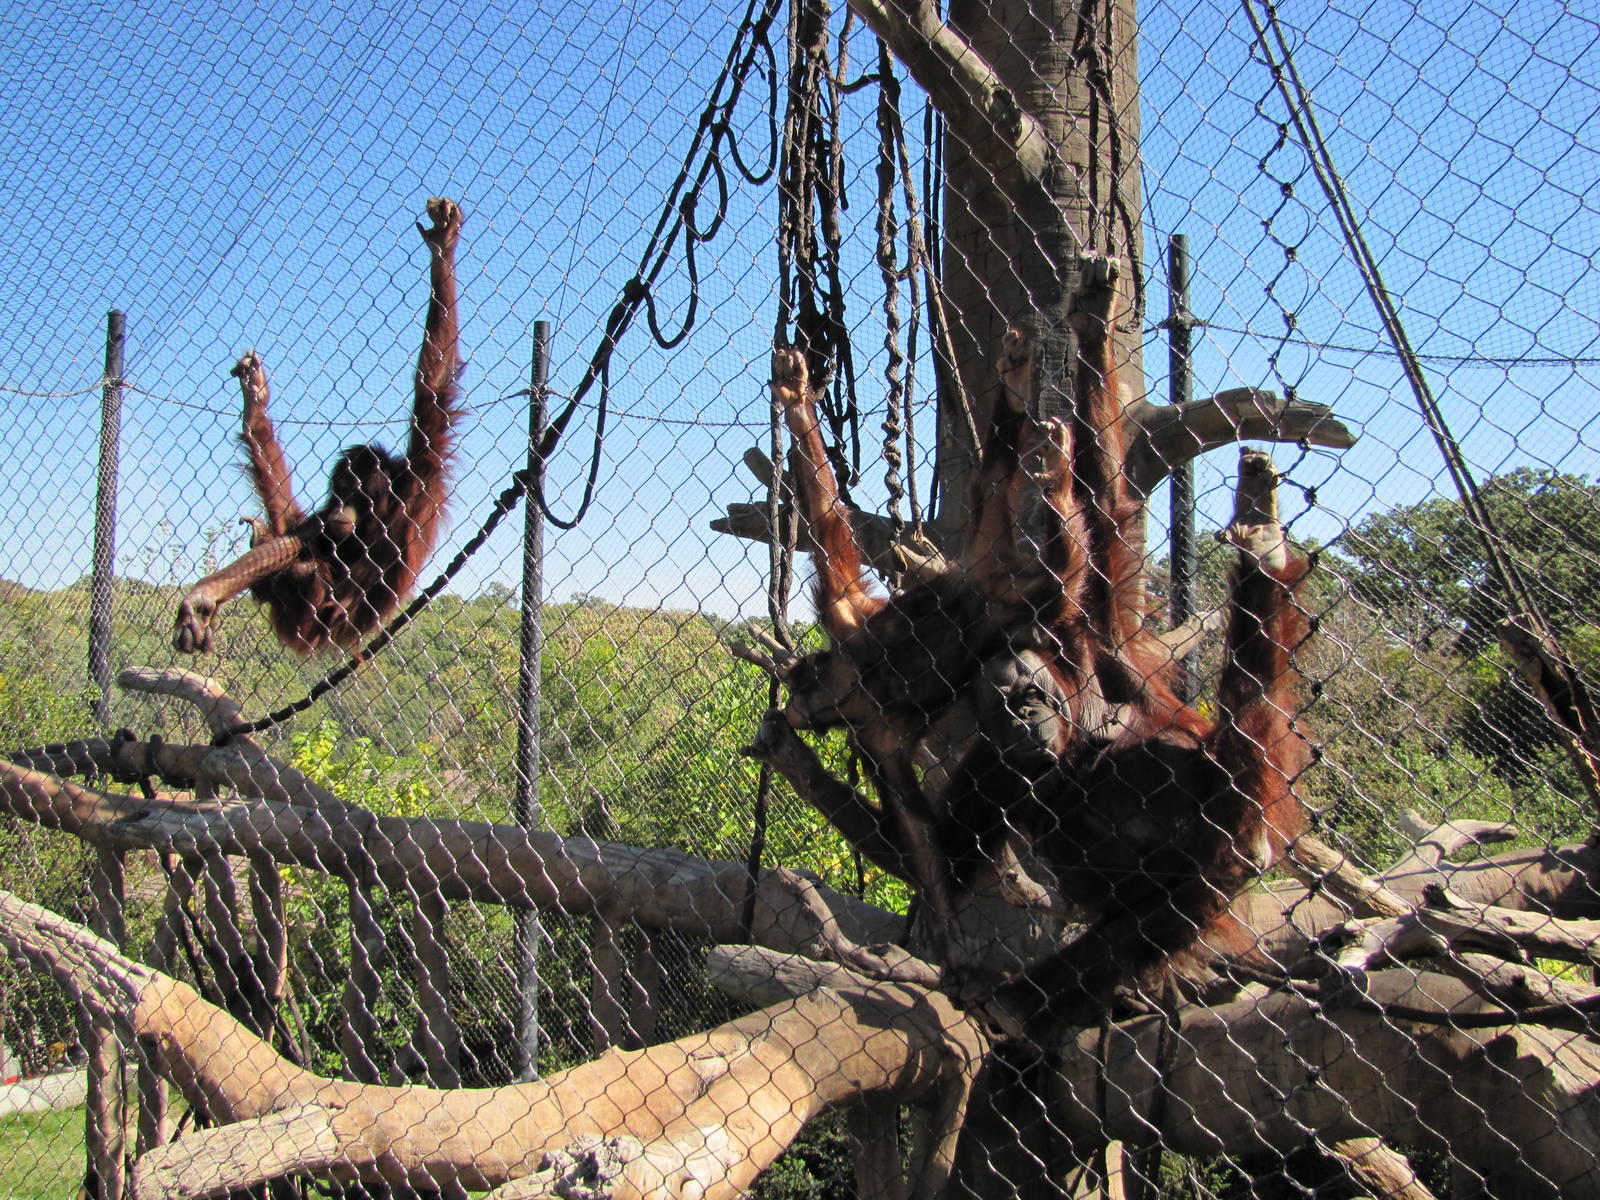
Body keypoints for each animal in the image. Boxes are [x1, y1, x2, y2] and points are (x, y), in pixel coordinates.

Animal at [173, 197, 465, 656]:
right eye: (341, 490)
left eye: (358, 492)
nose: (344, 508)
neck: (382, 510)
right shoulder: (333, 514)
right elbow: (306, 533)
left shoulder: (420, 477)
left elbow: (431, 389)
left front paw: (442, 250)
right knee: (296, 545)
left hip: (315, 619)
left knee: (303, 570)